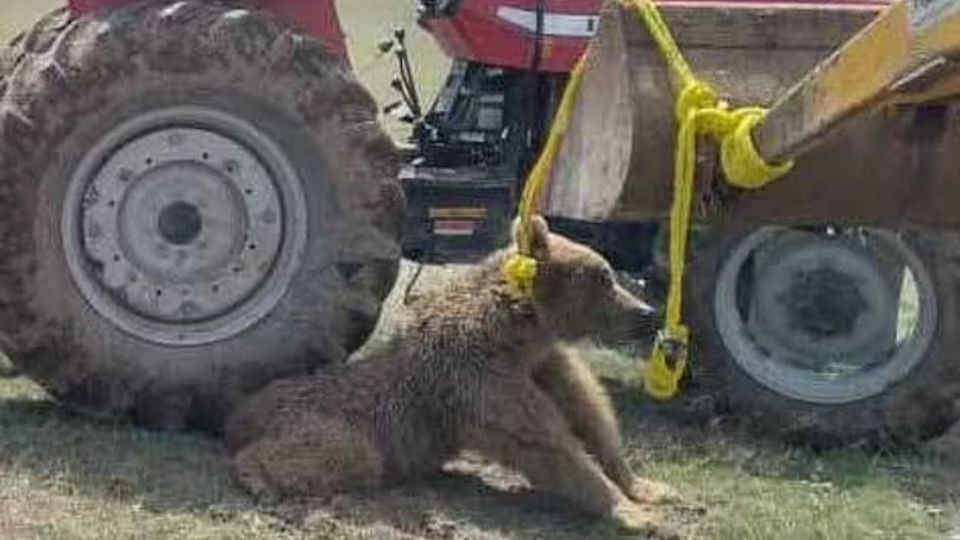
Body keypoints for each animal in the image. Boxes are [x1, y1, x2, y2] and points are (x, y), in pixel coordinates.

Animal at [224, 214, 676, 532]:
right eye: (603, 276)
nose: (646, 312)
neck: (517, 333)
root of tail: (242, 410)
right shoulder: (478, 376)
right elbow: (546, 442)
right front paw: (630, 512)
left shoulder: (544, 364)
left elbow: (590, 415)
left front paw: (646, 489)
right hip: (327, 420)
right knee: (349, 455)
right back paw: (258, 478)